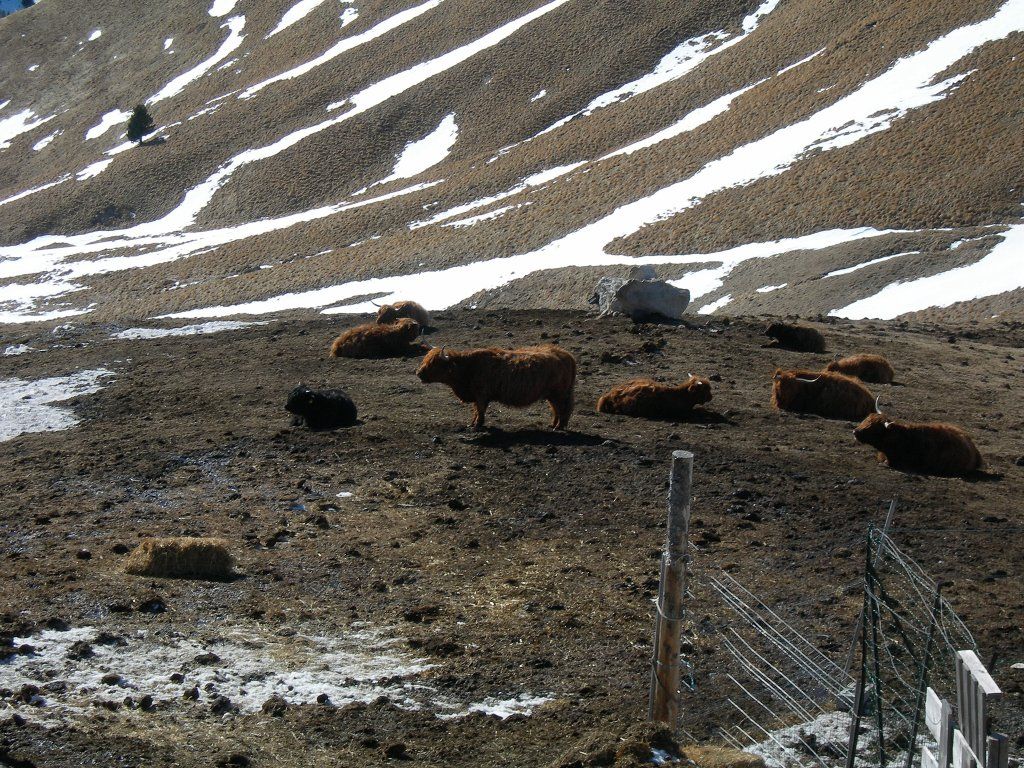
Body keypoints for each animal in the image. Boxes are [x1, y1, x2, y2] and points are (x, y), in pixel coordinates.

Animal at [415, 344, 577, 430]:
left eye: (434, 363)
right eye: (426, 359)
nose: (418, 373)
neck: (468, 367)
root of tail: (566, 354)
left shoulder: (481, 395)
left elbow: (480, 410)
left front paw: (477, 425)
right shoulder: (478, 395)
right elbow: (476, 410)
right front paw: (473, 423)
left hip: (559, 393)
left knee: (563, 409)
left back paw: (559, 427)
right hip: (552, 395)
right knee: (556, 409)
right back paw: (553, 424)